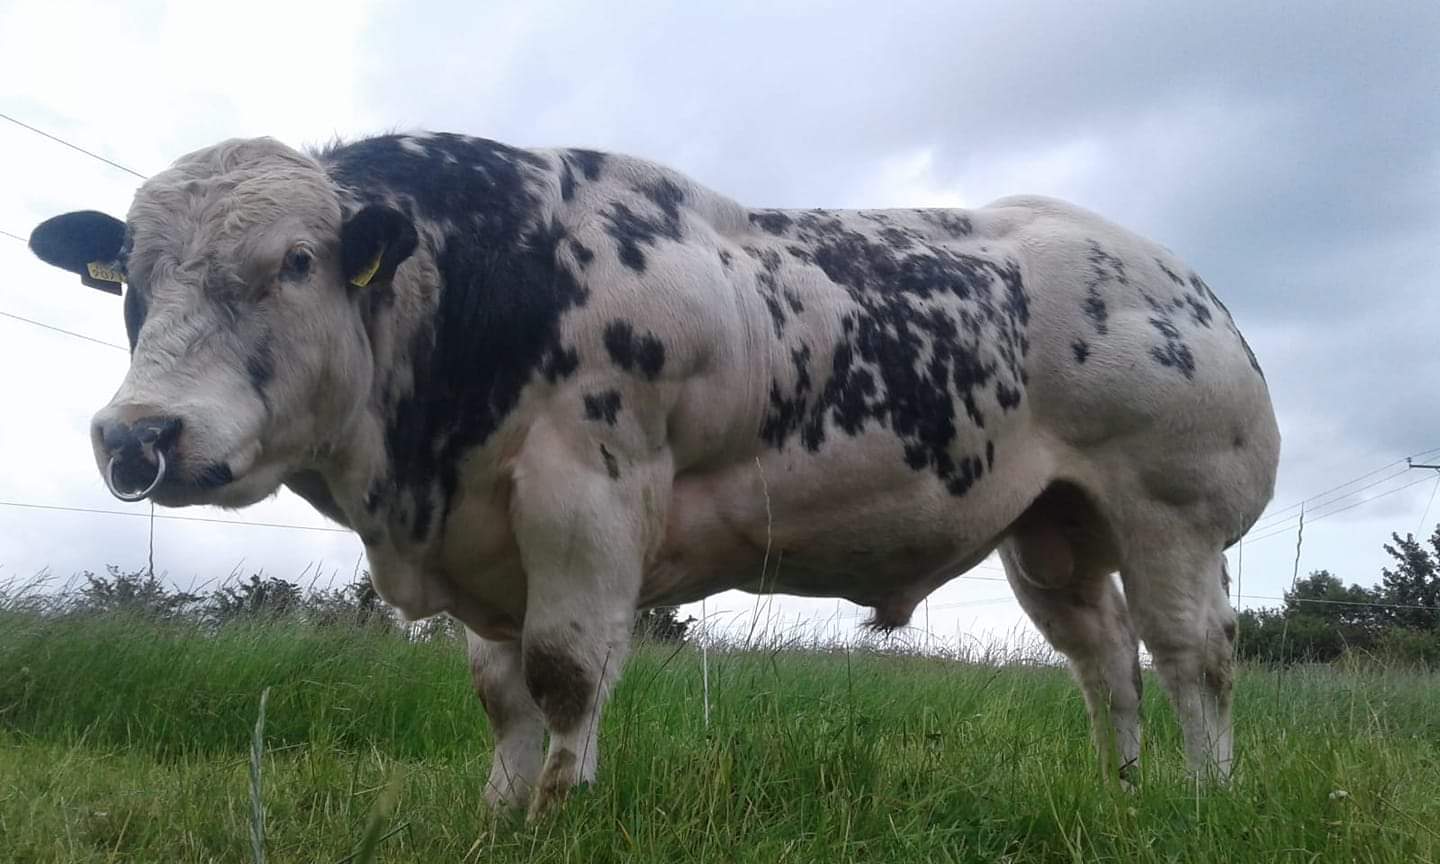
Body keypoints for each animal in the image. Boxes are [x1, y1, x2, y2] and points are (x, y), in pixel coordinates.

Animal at [30, 133, 1272, 817]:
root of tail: (1177, 280)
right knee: (1104, 661)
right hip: (1052, 531)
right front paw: (498, 812)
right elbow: (500, 692)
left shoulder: (587, 496)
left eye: (293, 262)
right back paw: (1122, 790)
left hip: (1170, 511)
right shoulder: (485, 538)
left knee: (1192, 655)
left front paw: (557, 811)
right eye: (127, 278)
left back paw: (1207, 797)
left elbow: (566, 675)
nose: (139, 435)